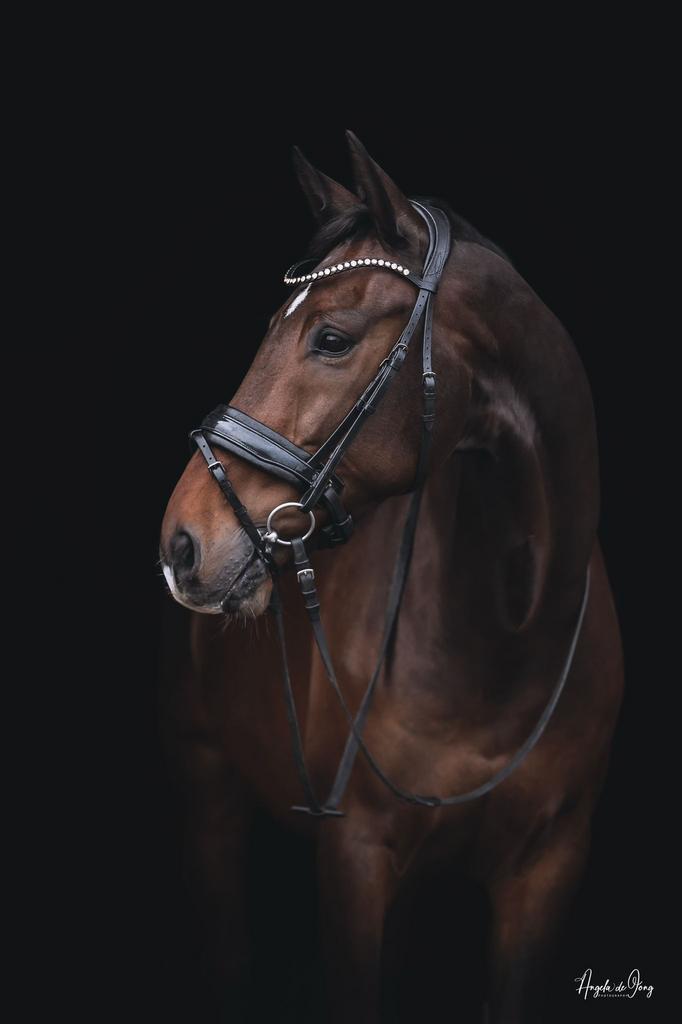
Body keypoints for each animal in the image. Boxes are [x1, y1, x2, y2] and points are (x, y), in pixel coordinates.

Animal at [159, 130, 624, 1023]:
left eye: (332, 339)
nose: (182, 543)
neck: (507, 635)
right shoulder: (354, 858)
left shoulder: (547, 872)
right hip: (204, 774)